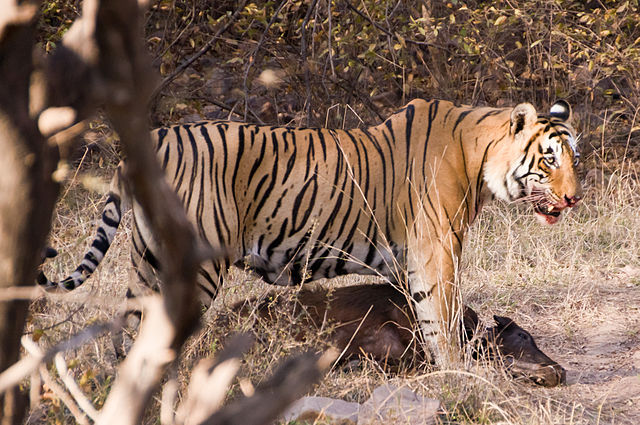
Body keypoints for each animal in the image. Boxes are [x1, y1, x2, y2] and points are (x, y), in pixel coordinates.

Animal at [39, 98, 582, 363]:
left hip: (144, 261)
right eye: (550, 160)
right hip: (193, 262)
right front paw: (460, 374)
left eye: (574, 157)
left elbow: (418, 315)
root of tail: (153, 137)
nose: (575, 198)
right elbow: (443, 318)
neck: (480, 157)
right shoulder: (437, 249)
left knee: (127, 329)